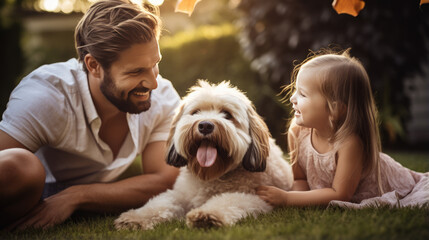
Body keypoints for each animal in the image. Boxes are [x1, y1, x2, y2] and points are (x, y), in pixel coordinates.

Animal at [115, 79, 292, 230]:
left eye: (227, 114)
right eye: (196, 112)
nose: (205, 125)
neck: (213, 175)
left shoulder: (257, 197)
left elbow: (230, 200)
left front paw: (207, 215)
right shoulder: (180, 194)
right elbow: (159, 204)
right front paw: (135, 218)